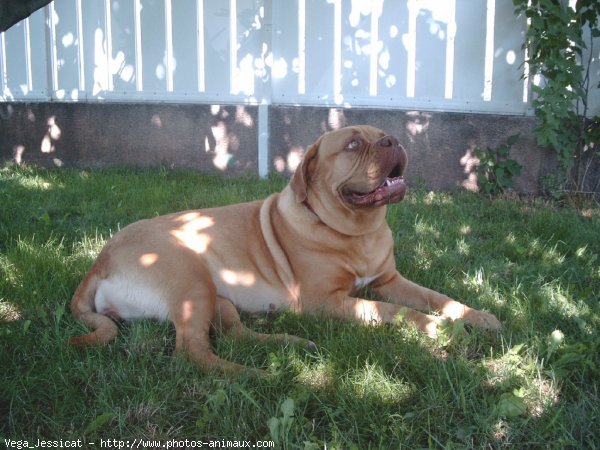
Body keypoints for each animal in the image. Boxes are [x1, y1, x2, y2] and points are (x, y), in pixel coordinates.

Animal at [71, 125, 502, 372]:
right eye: (353, 144)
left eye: (385, 134)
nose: (393, 140)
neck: (357, 231)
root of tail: (98, 263)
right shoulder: (325, 301)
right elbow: (393, 310)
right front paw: (435, 326)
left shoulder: (389, 280)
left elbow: (437, 296)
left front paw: (476, 316)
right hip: (189, 278)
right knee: (191, 352)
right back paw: (258, 375)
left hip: (215, 296)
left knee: (231, 335)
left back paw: (290, 344)